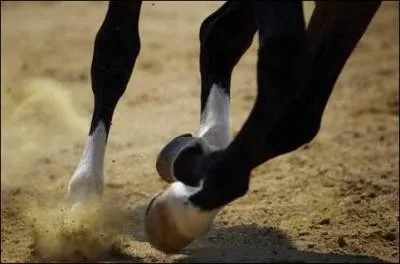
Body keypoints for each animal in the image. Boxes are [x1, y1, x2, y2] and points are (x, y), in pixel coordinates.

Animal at [67, 1, 382, 255]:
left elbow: (298, 119)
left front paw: (186, 195)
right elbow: (283, 60)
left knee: (220, 32)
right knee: (116, 50)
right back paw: (84, 203)